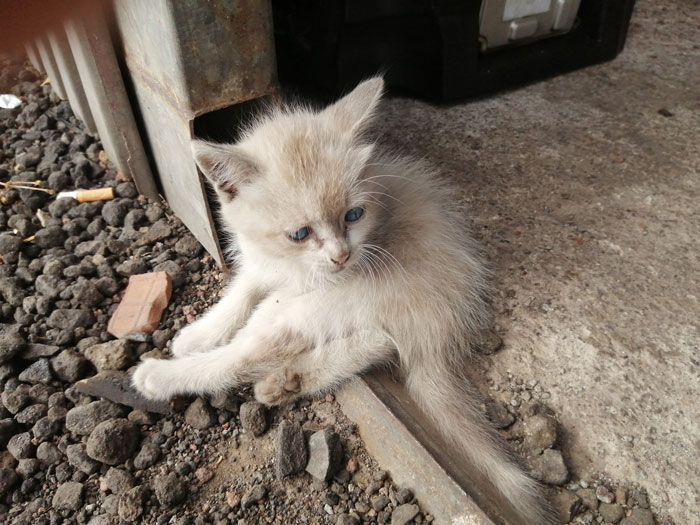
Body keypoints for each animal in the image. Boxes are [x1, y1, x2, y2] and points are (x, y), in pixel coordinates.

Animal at [134, 78, 556, 524]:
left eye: (354, 215)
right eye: (299, 233)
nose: (341, 256)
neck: (289, 264)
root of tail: (441, 325)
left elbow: (251, 318)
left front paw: (184, 355)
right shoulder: (265, 263)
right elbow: (244, 288)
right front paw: (201, 332)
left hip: (336, 300)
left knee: (254, 351)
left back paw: (162, 376)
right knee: (380, 341)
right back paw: (284, 382)